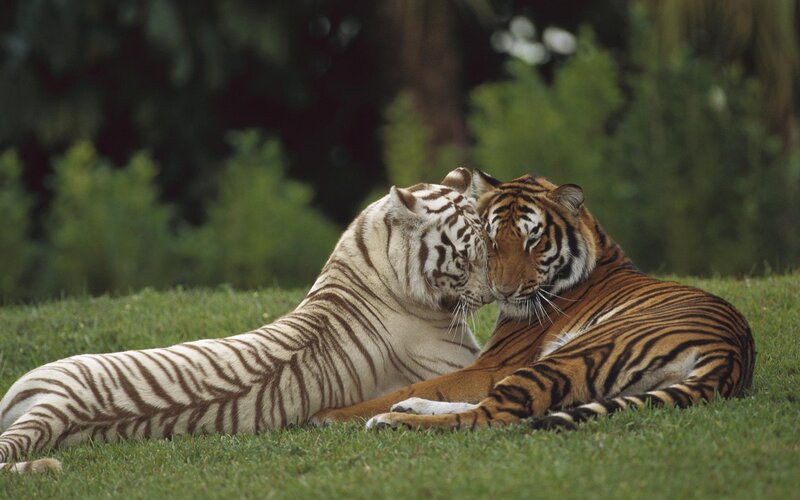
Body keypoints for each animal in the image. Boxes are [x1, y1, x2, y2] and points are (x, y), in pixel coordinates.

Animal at [0, 168, 492, 473]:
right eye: (466, 258)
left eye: (491, 248)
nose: (493, 295)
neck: (372, 254)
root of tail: (60, 407)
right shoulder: (463, 362)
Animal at [311, 171, 755, 432]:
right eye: (491, 240)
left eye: (533, 241)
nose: (502, 292)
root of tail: (730, 354)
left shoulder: (495, 364)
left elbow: (428, 383)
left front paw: (332, 414)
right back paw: (407, 408)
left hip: (571, 355)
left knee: (492, 414)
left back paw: (388, 419)